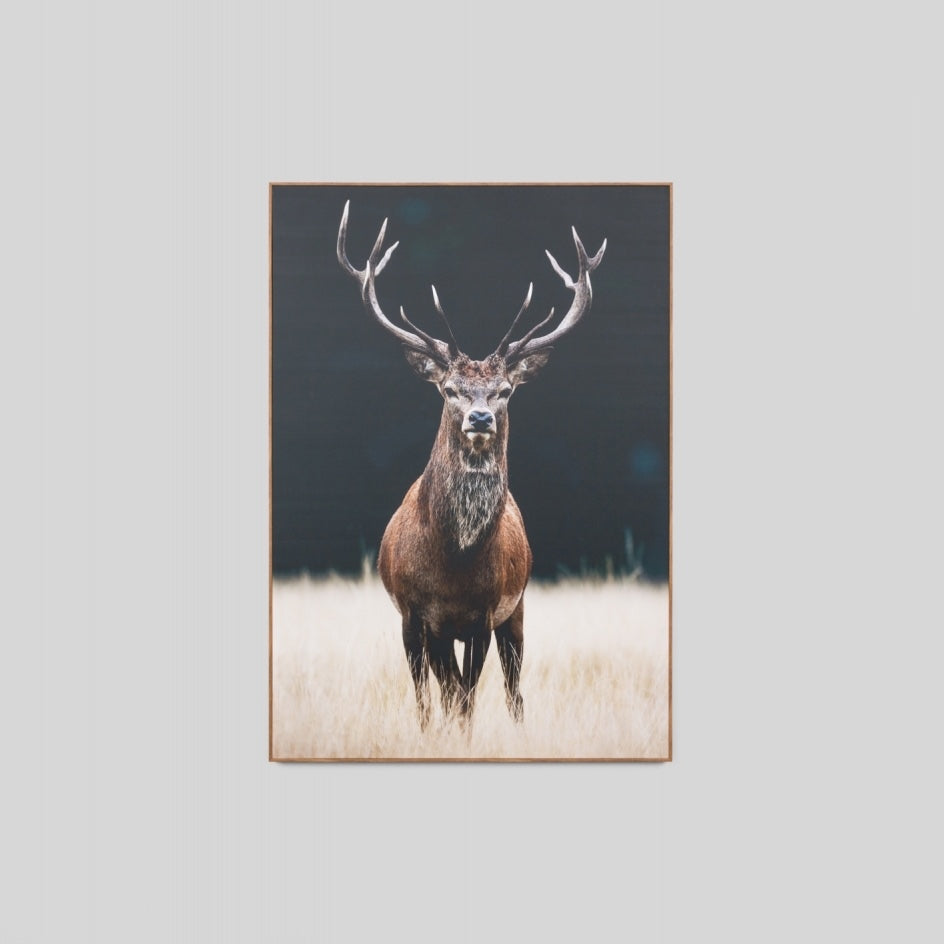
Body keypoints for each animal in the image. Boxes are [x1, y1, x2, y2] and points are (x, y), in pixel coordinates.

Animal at [336, 200, 606, 728]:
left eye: (505, 390)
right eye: (449, 389)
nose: (480, 417)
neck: (454, 564)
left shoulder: (484, 613)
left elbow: (467, 699)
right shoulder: (414, 614)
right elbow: (431, 698)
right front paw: (429, 735)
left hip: (517, 610)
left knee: (512, 689)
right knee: (444, 689)